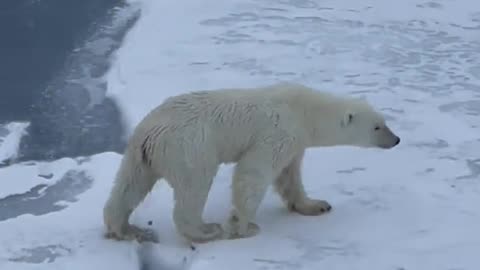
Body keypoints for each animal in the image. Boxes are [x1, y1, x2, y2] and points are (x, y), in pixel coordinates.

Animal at [103, 81, 400, 243]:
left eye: (384, 121)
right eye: (377, 127)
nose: (396, 140)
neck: (304, 112)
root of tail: (147, 131)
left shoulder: (295, 142)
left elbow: (290, 176)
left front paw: (316, 205)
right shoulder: (278, 132)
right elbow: (253, 173)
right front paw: (244, 226)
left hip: (141, 156)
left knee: (128, 186)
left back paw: (126, 229)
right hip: (190, 146)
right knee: (194, 186)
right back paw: (206, 230)